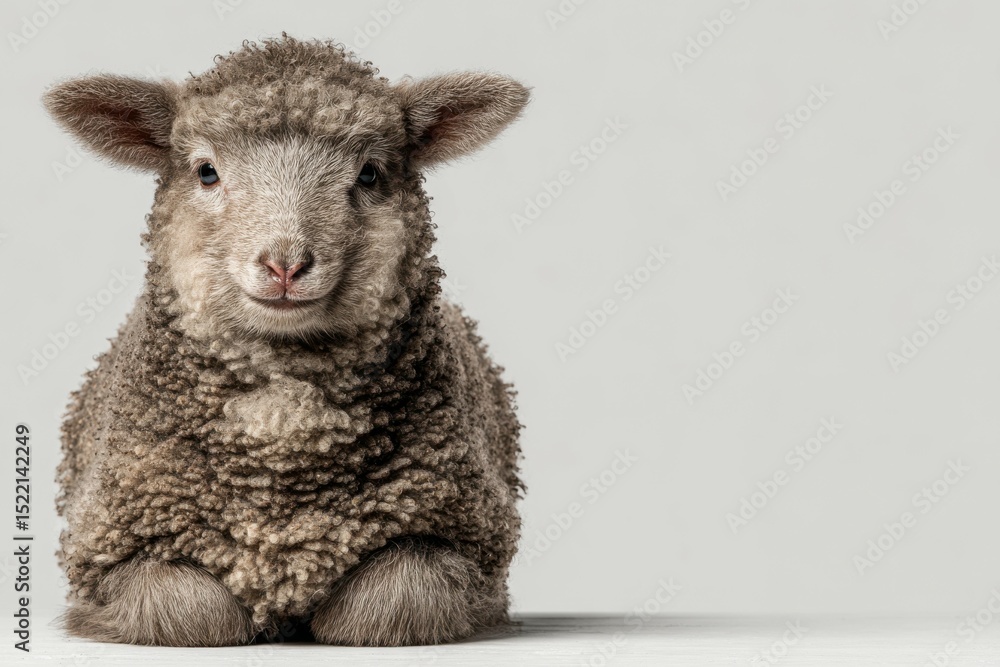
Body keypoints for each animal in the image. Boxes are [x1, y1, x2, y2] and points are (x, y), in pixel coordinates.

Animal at [43, 35, 529, 647]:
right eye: (206, 172)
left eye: (370, 175)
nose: (285, 264)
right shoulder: (108, 549)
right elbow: (198, 611)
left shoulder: (465, 541)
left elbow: (388, 598)